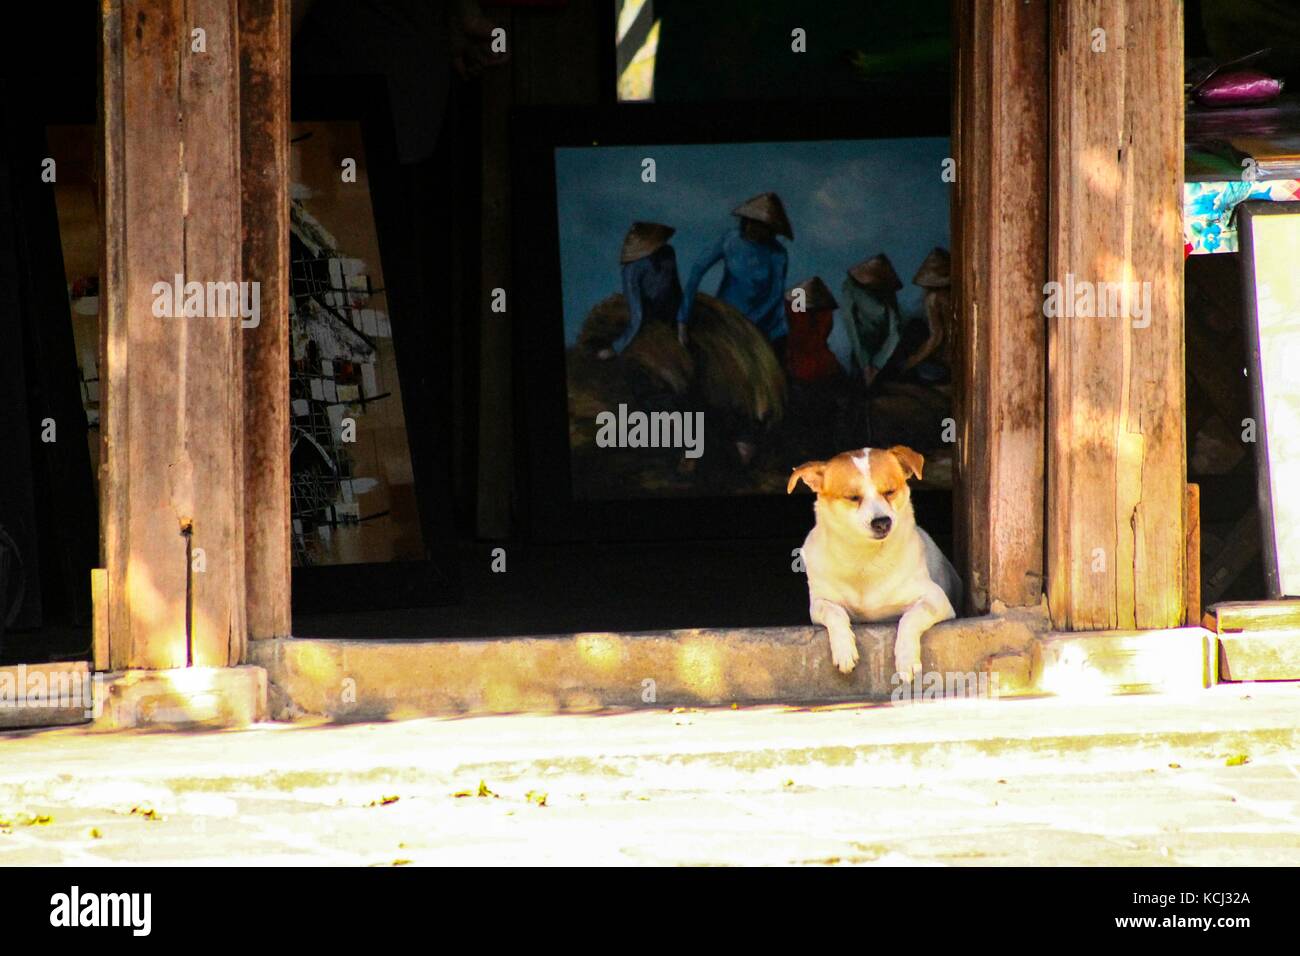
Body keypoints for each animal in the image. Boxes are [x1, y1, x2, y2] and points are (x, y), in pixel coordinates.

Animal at [785, 447, 961, 681]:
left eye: (890, 491)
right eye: (853, 497)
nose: (882, 522)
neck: (866, 558)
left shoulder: (937, 600)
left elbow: (909, 618)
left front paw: (906, 658)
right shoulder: (819, 603)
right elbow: (835, 613)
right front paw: (844, 650)